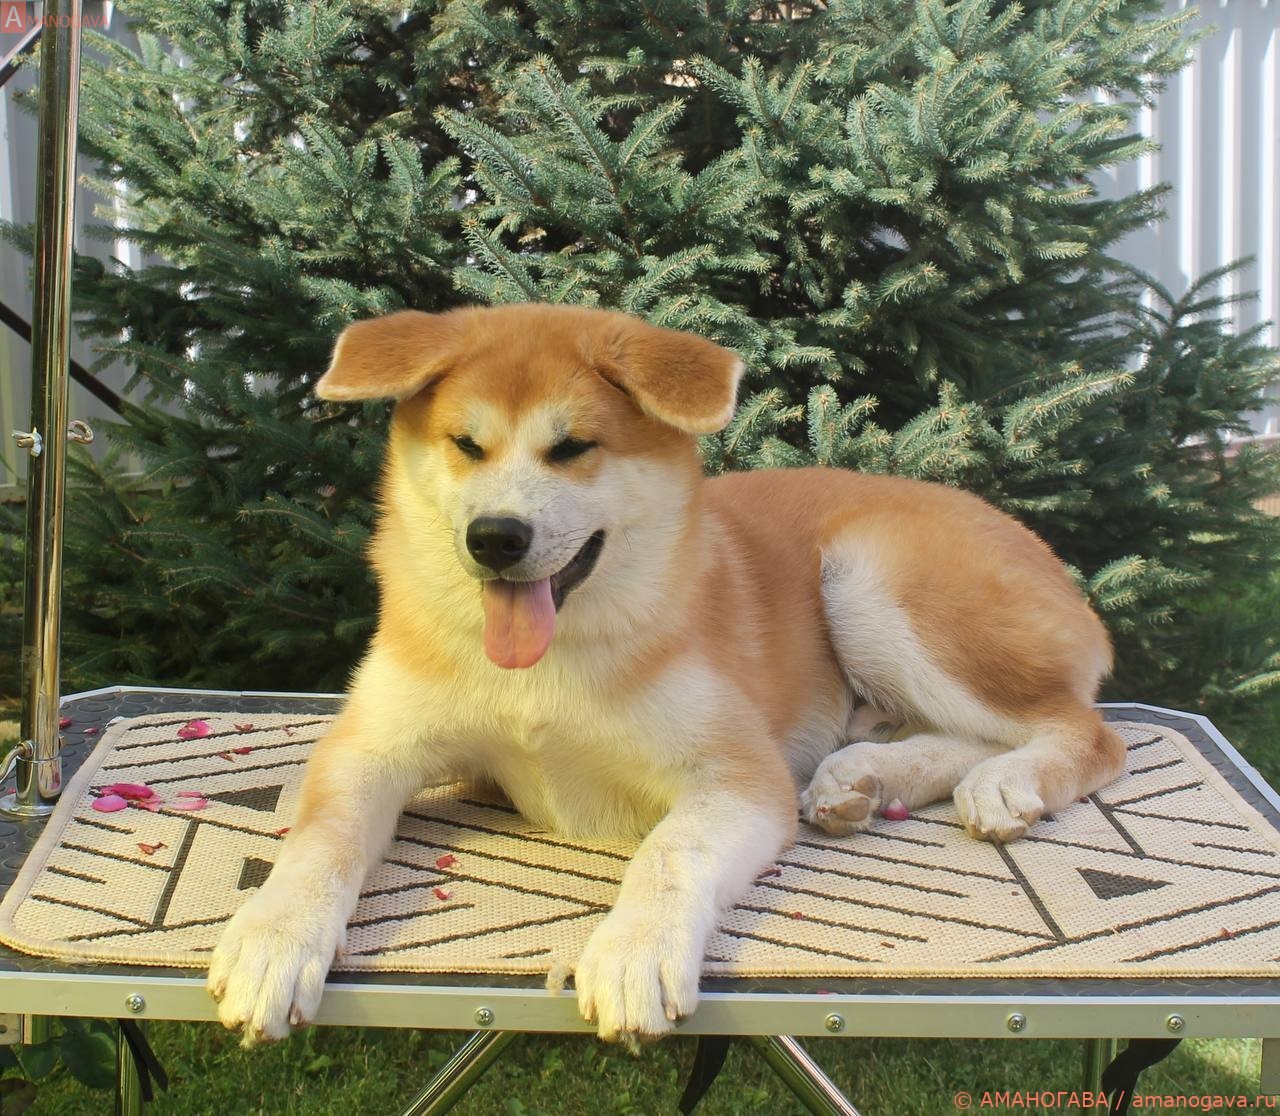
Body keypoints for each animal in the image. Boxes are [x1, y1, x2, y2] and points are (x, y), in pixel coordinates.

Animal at [208, 303, 1124, 1046]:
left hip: (873, 575)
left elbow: (669, 852)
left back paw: (1007, 783)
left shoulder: (735, 773)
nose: (495, 537)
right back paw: (865, 777)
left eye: (572, 447)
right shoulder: (370, 748)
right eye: (466, 445)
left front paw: (634, 950)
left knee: (1085, 732)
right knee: (958, 732)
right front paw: (274, 936)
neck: (542, 674)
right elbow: (319, 841)